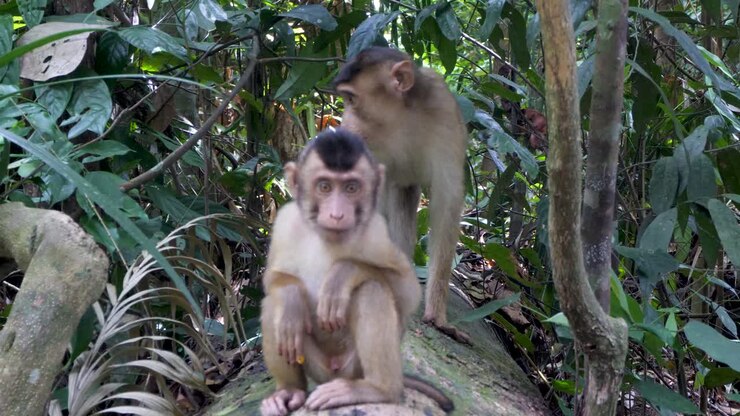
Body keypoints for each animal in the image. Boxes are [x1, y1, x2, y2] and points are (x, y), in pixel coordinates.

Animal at [260, 129, 454, 416]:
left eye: (351, 188)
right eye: (324, 186)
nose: (337, 214)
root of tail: (334, 373)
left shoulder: (377, 231)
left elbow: (409, 292)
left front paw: (341, 275)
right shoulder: (285, 221)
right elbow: (273, 279)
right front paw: (292, 298)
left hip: (352, 367)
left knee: (372, 289)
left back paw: (377, 389)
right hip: (318, 367)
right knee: (274, 304)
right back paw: (289, 391)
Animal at [332, 47, 470, 343]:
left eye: (351, 99)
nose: (345, 123)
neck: (402, 118)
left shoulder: (444, 115)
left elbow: (447, 202)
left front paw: (437, 316)